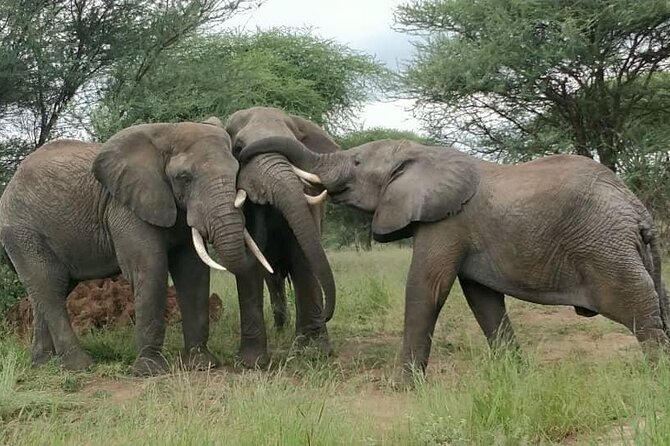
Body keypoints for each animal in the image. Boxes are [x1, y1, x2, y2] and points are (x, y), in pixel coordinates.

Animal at [0, 119, 272, 375]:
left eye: (236, 171)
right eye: (184, 178)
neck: (167, 133)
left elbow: (193, 272)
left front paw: (201, 365)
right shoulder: (126, 208)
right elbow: (150, 269)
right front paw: (150, 371)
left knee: (50, 290)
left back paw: (42, 364)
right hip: (23, 232)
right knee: (50, 286)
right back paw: (79, 366)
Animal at [223, 106, 338, 367]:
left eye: (294, 145)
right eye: (238, 148)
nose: (326, 316)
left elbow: (303, 256)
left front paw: (314, 353)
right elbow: (249, 265)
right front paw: (251, 363)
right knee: (272, 278)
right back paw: (279, 329)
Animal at [238, 138, 670, 377]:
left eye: (357, 162)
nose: (240, 150)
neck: (422, 154)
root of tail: (637, 211)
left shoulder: (446, 222)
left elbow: (426, 288)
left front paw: (402, 385)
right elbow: (482, 299)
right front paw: (514, 374)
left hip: (605, 248)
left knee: (638, 307)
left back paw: (656, 377)